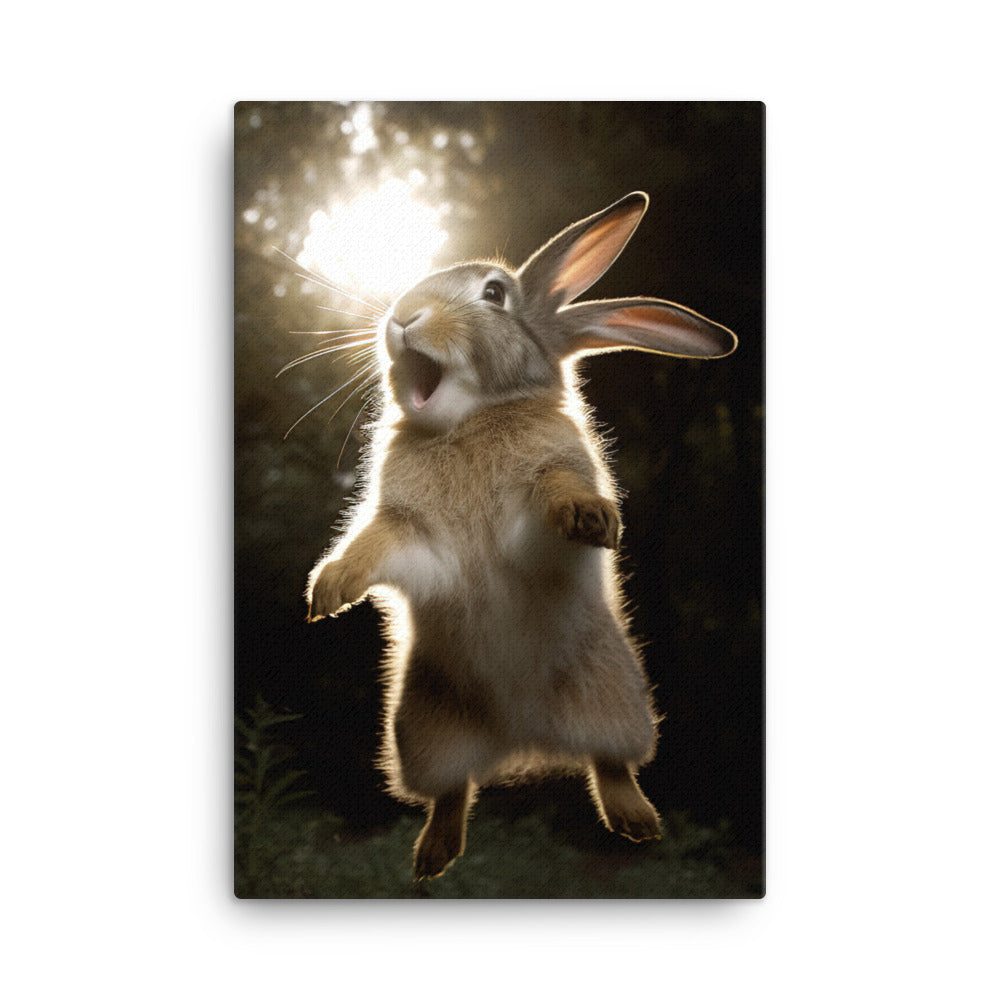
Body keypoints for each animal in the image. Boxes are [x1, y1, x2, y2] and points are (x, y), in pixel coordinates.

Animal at [306, 191, 737, 878]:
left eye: (493, 293)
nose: (402, 317)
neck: (471, 419)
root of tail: (524, 740)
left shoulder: (542, 495)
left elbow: (556, 491)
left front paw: (593, 517)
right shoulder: (412, 535)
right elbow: (375, 545)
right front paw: (329, 590)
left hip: (616, 701)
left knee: (610, 764)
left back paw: (636, 822)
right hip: (424, 732)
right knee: (452, 791)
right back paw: (433, 857)